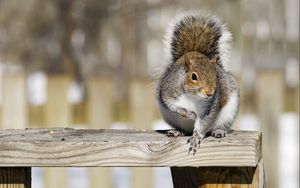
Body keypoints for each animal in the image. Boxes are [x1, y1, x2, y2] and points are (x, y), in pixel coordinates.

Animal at [157, 12, 239, 156]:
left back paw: (219, 131)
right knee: (184, 129)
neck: (193, 96)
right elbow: (172, 105)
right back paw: (177, 131)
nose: (210, 93)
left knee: (223, 126)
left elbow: (204, 123)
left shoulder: (210, 107)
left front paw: (196, 138)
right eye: (193, 76)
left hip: (229, 112)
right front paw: (188, 113)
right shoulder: (168, 90)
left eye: (217, 76)